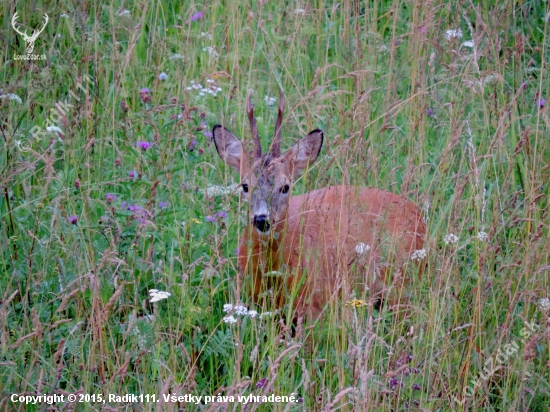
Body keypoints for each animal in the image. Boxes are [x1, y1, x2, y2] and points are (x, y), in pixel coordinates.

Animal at [213, 91, 430, 320]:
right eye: (245, 185)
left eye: (285, 186)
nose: (262, 220)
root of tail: (418, 215)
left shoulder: (315, 303)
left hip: (402, 283)